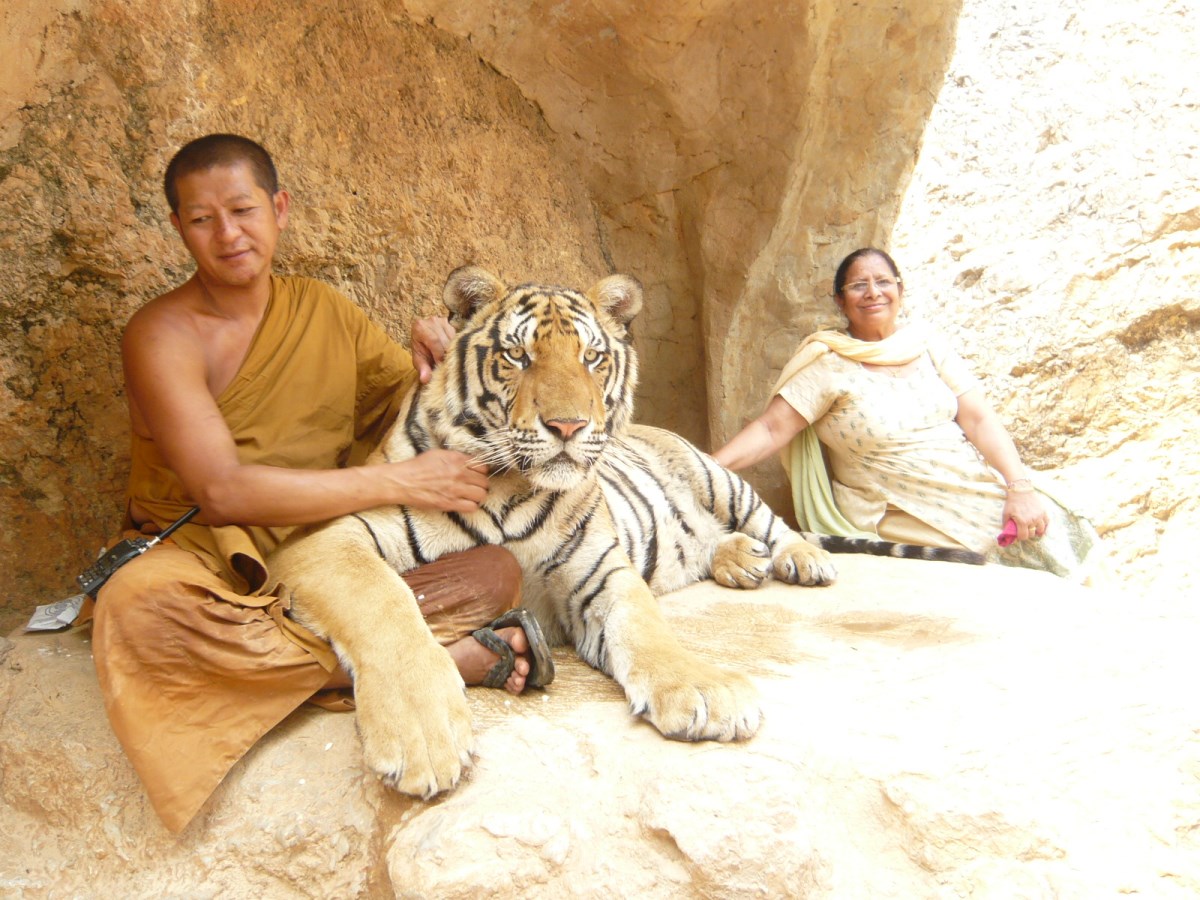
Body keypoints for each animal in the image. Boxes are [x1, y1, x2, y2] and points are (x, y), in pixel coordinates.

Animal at [267, 264, 979, 801]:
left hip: (717, 474)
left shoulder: (601, 572)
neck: (512, 485)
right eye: (518, 355)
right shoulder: (328, 538)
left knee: (773, 522)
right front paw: (423, 736)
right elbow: (385, 604)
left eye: (592, 357)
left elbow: (647, 629)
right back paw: (740, 562)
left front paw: (705, 693)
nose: (568, 426)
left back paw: (799, 560)